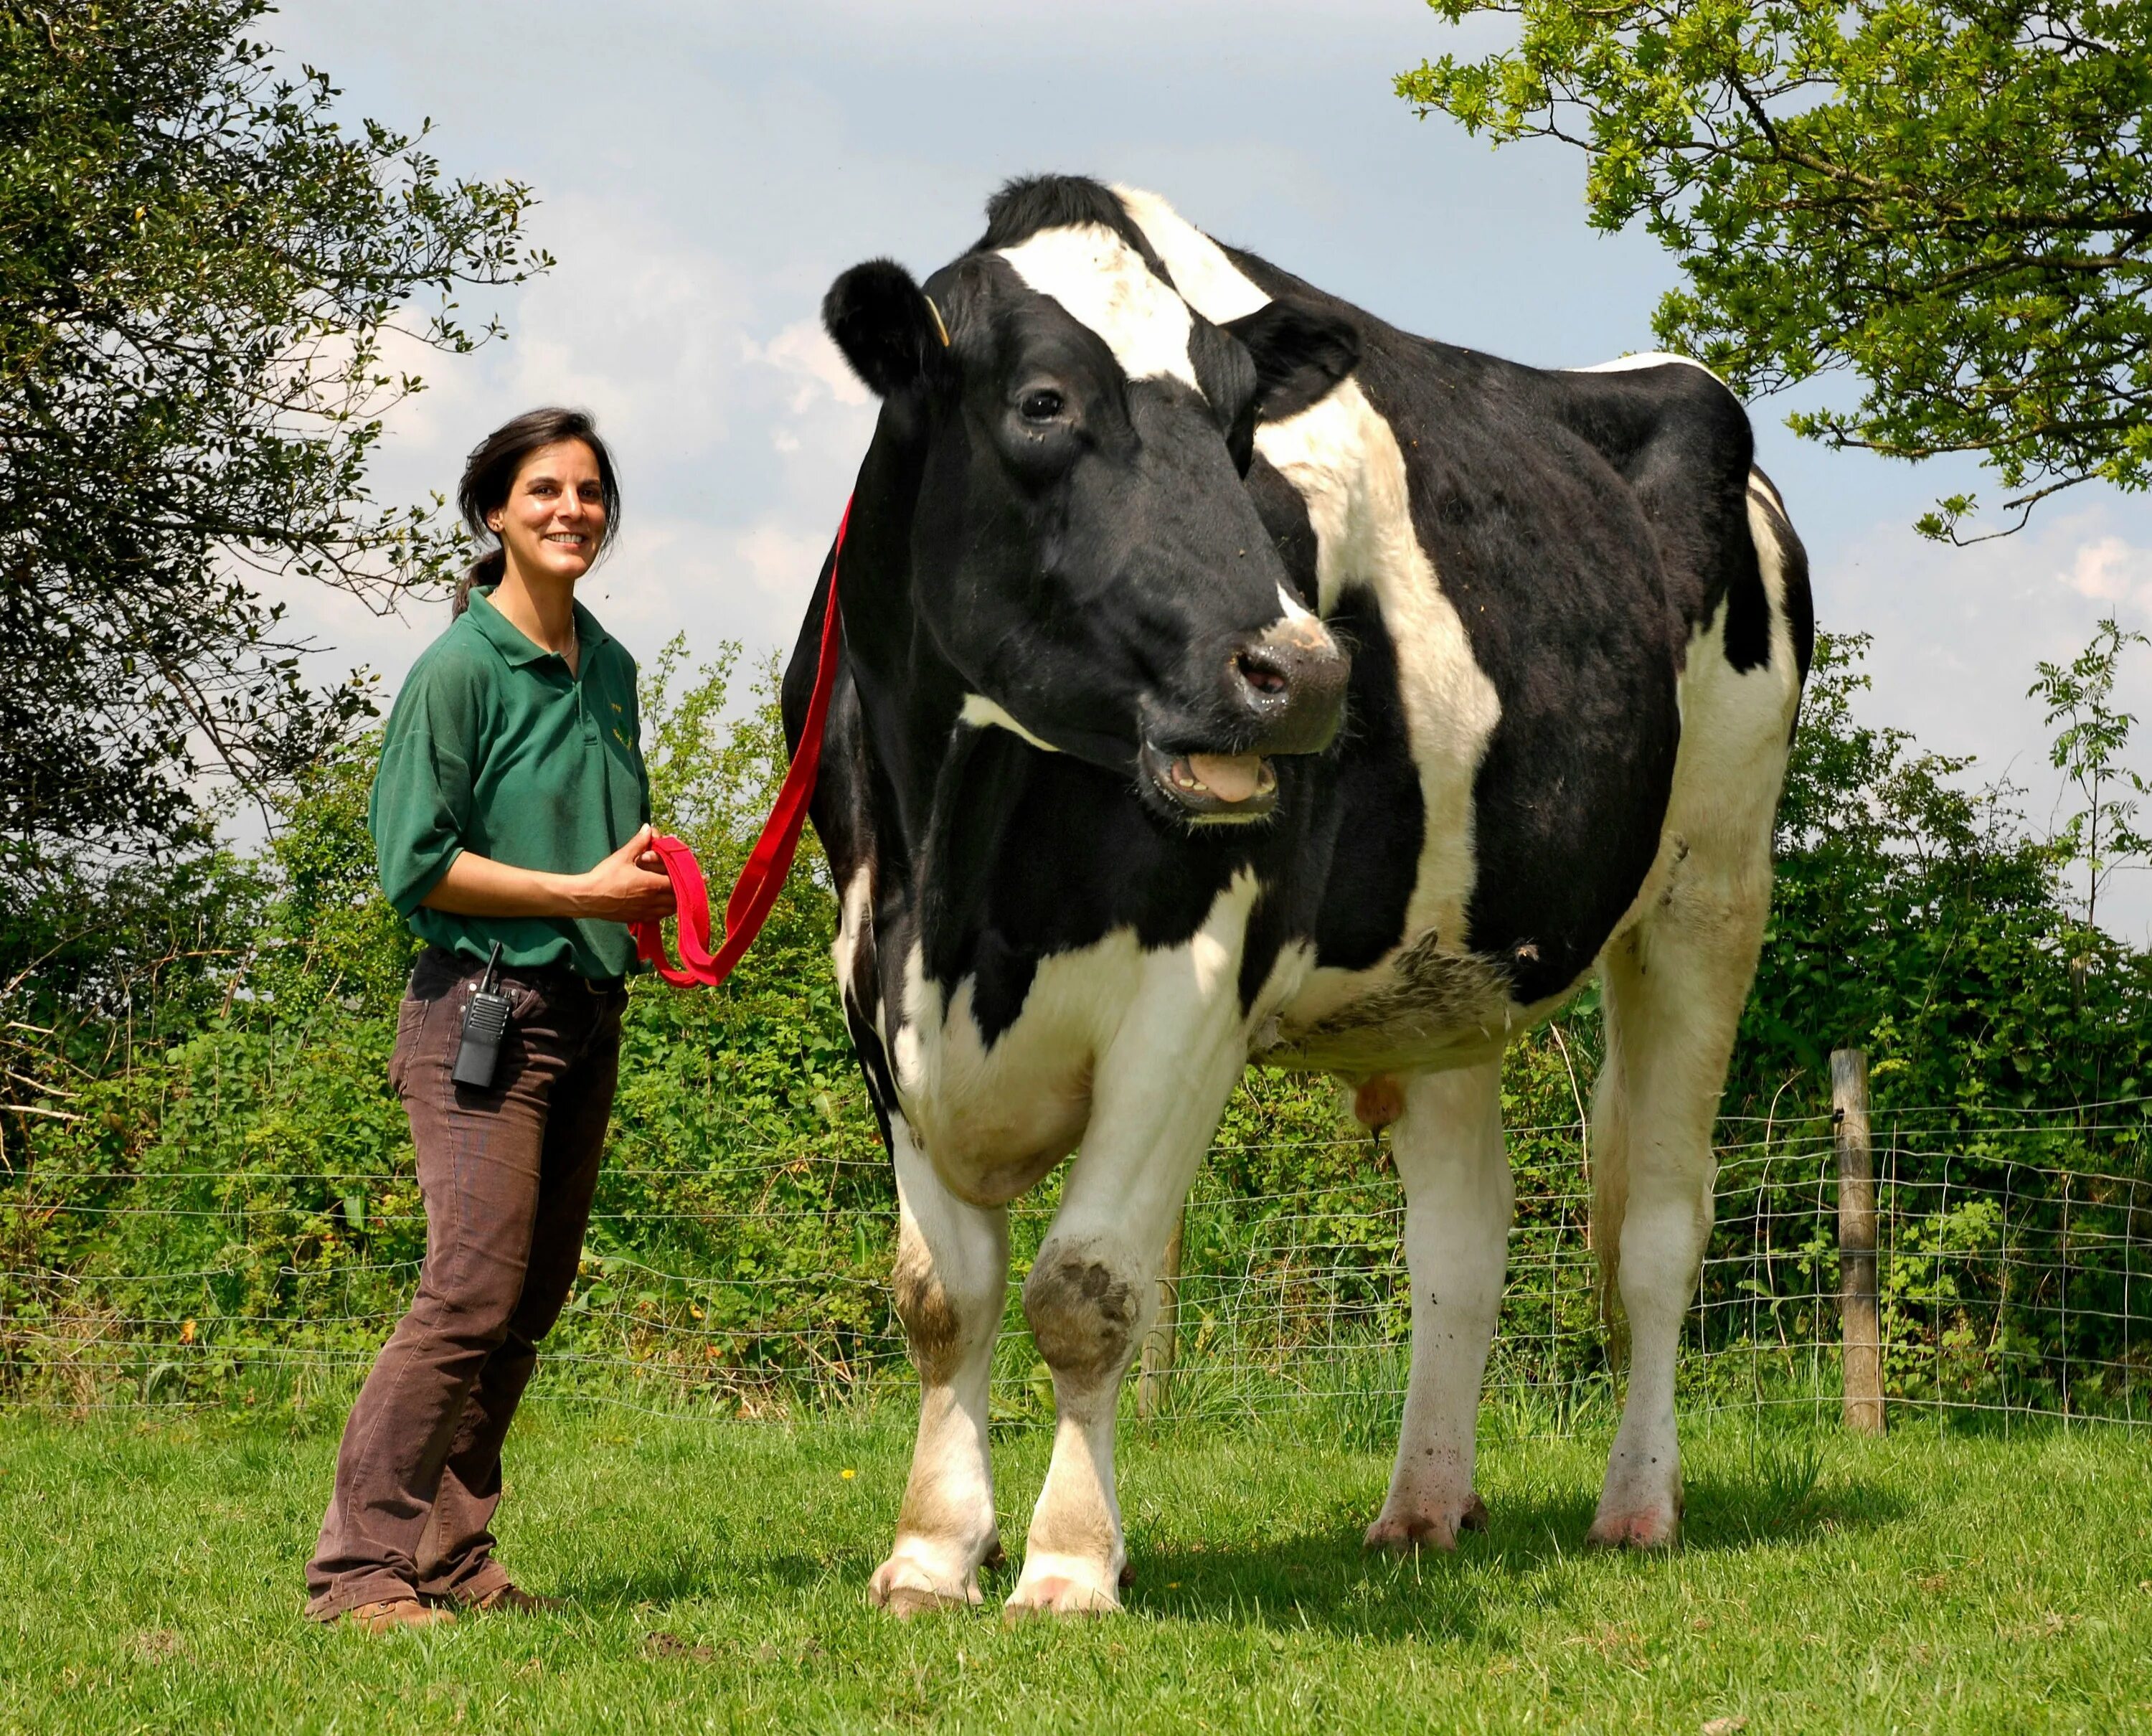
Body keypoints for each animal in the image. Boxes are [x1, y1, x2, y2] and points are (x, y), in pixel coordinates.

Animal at [783, 176, 1808, 1618]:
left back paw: (1638, 1504)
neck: (960, 879)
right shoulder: (872, 983)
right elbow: (944, 1296)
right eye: (1042, 403)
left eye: (1236, 427)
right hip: (1447, 976)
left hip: (1711, 888)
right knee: (1461, 1243)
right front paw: (933, 1553)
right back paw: (1424, 1506)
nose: (1306, 673)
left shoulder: (1194, 990)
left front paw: (1069, 1564)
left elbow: (1086, 1288)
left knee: (1661, 1225)